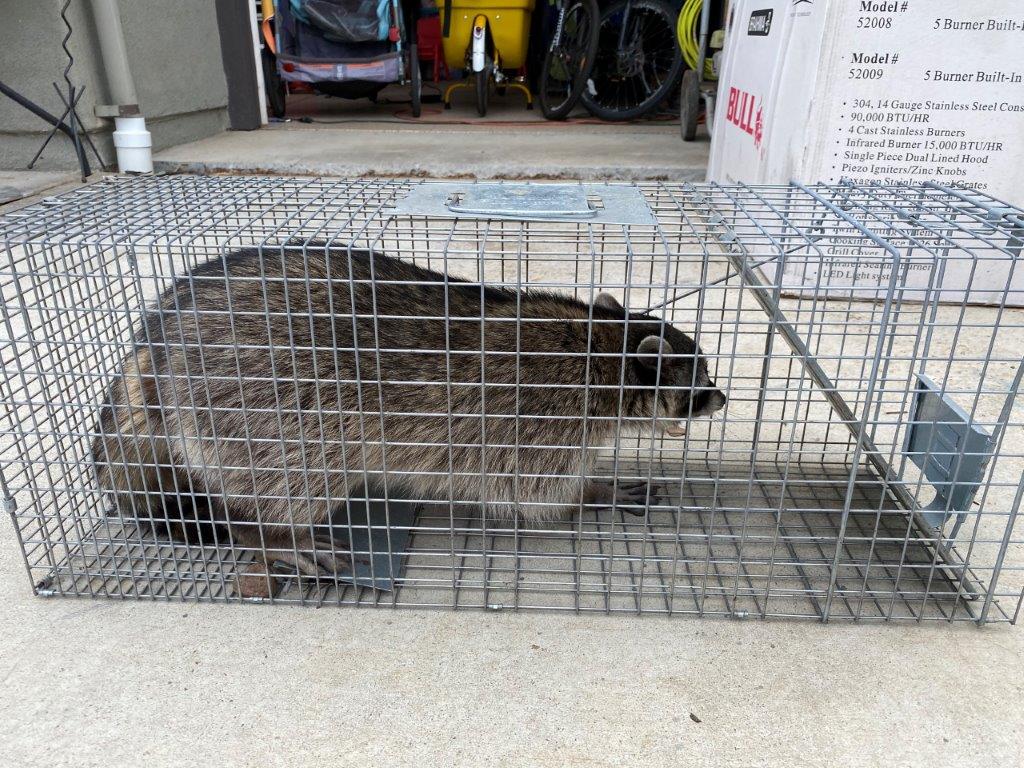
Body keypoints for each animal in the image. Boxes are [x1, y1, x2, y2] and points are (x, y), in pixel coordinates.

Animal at [93, 245, 725, 597]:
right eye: (700, 380)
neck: (604, 346)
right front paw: (596, 490)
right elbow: (536, 494)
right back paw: (268, 533)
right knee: (290, 480)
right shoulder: (543, 418)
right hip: (263, 403)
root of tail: (157, 333)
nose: (723, 398)